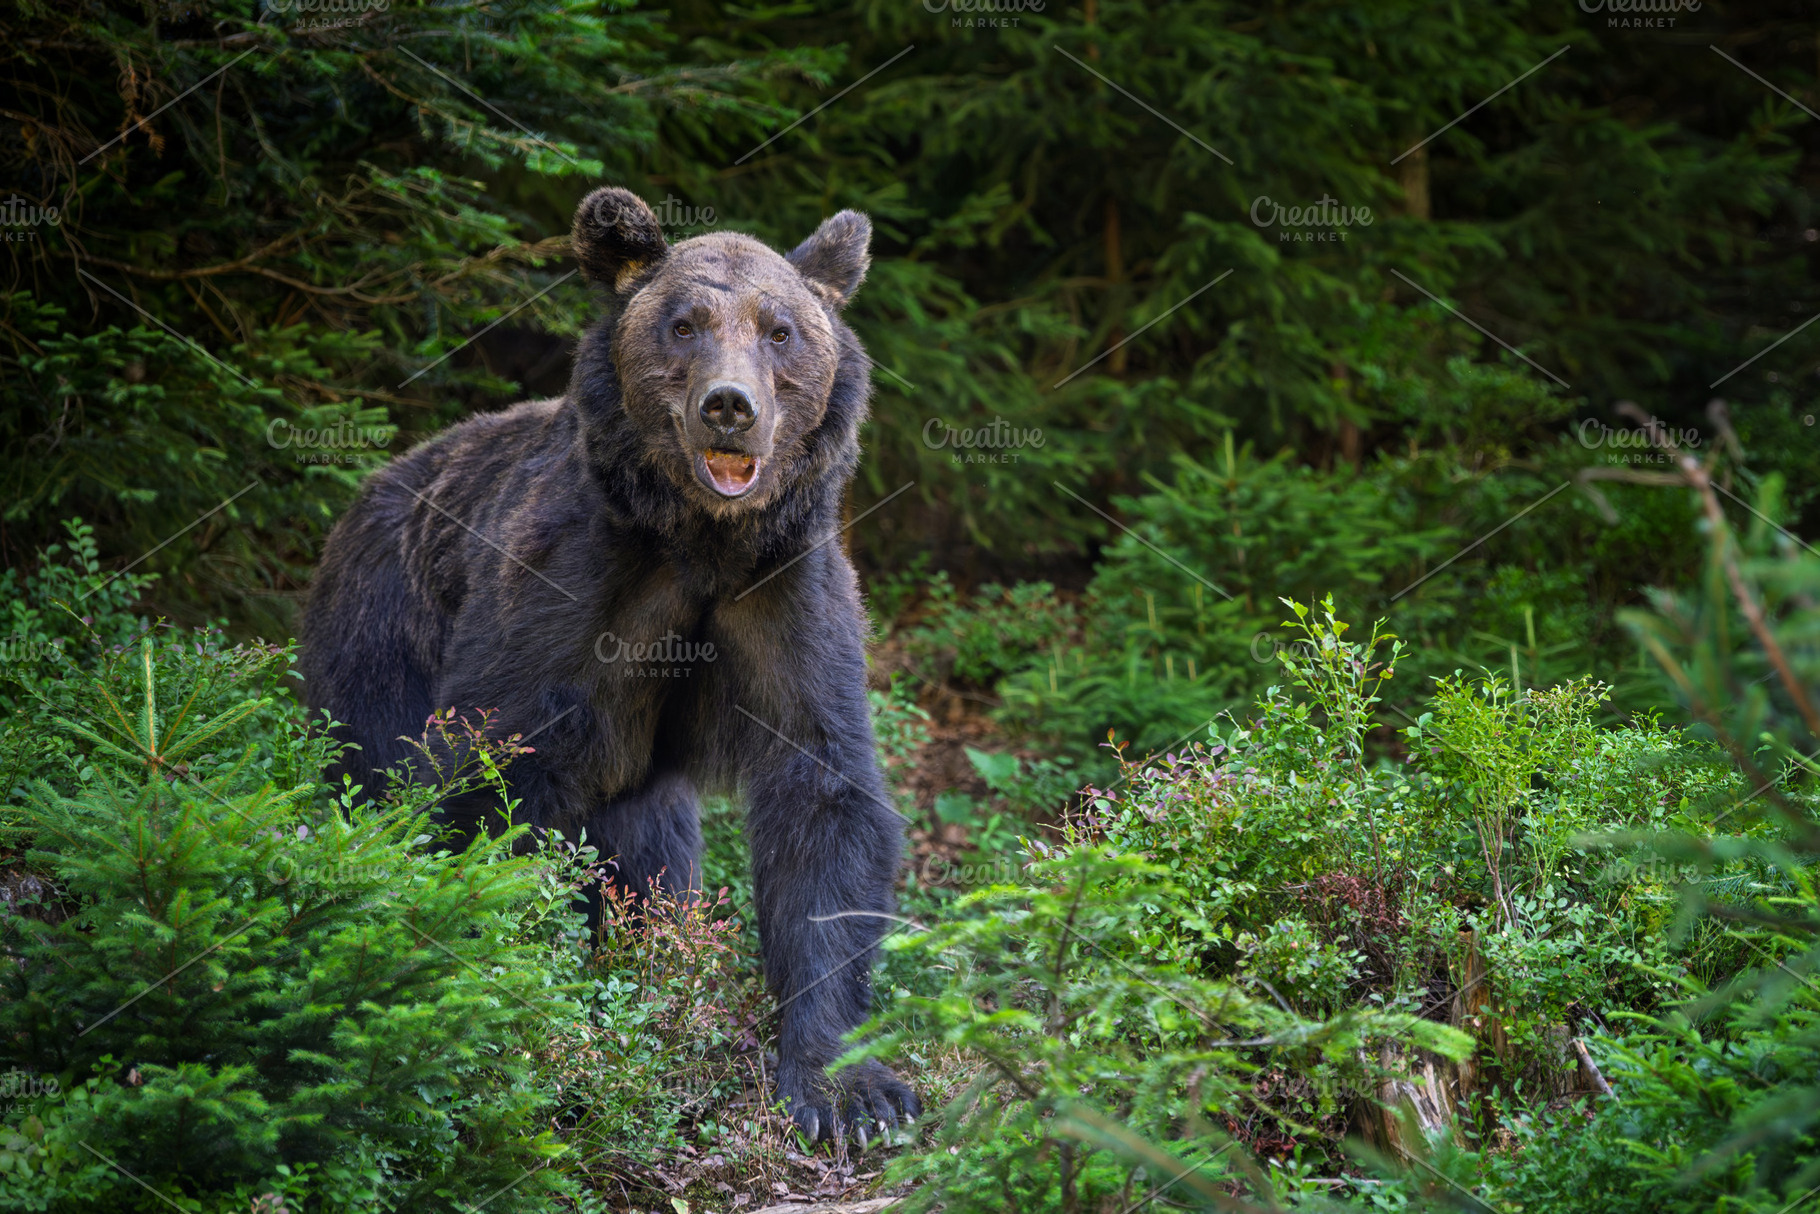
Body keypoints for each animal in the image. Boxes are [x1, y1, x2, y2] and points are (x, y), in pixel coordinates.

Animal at [297, 186, 919, 1143]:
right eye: (684, 323)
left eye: (780, 330)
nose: (729, 405)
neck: (700, 542)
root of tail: (366, 493)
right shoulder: (569, 583)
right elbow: (490, 767)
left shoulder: (786, 589)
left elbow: (823, 793)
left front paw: (847, 1090)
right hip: (378, 634)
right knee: (370, 765)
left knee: (649, 853)